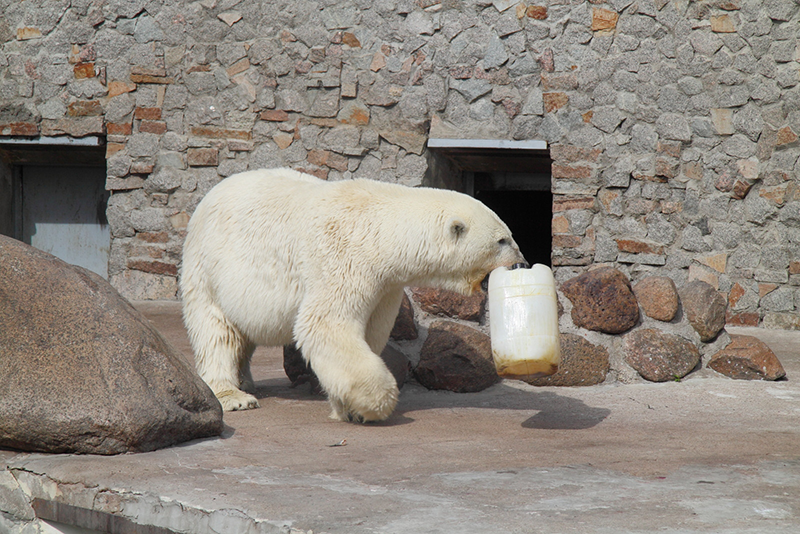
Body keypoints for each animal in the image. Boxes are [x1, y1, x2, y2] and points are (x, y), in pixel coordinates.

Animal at [181, 168, 524, 422]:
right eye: (502, 240)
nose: (520, 261)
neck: (383, 228)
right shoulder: (344, 259)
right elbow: (326, 324)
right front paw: (371, 404)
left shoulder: (386, 284)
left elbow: (370, 332)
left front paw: (345, 405)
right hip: (207, 268)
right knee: (216, 331)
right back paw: (234, 395)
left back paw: (245, 381)